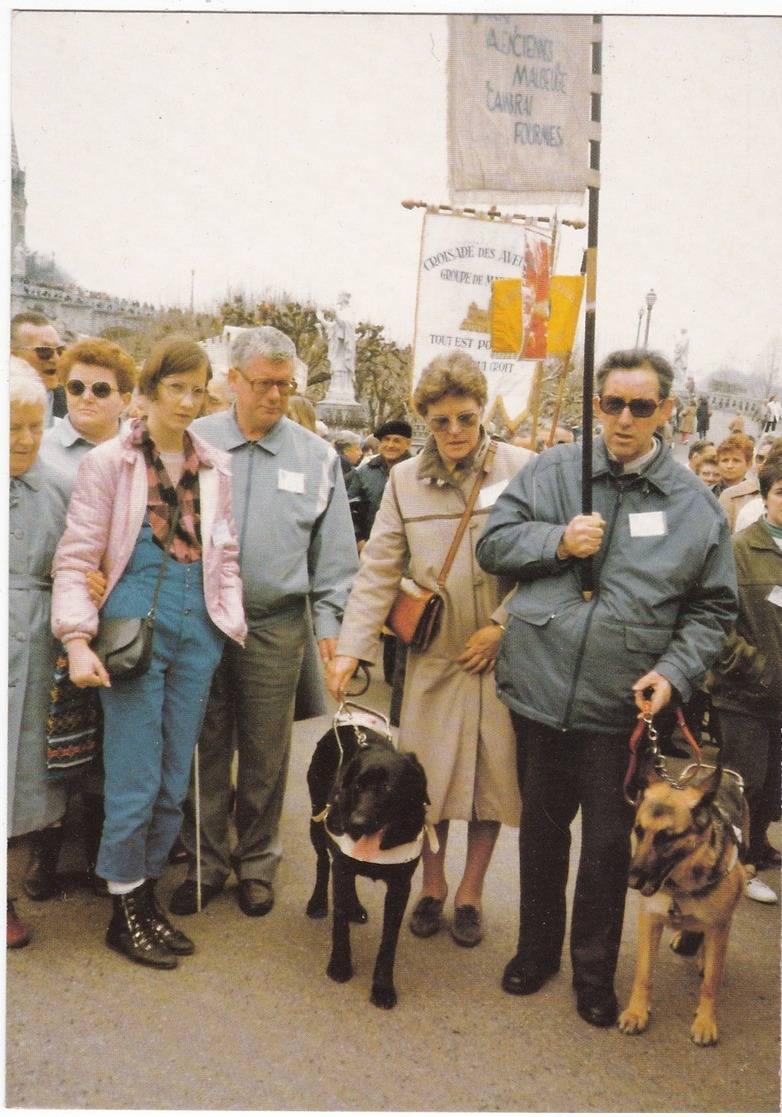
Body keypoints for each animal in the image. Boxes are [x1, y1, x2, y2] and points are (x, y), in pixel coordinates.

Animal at [306, 705, 431, 1014]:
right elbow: (340, 924)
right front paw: (340, 965)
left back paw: (355, 906)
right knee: (323, 864)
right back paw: (318, 902)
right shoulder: (342, 860)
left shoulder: (400, 886)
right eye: (358, 786)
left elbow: (388, 943)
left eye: (388, 789)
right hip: (317, 823)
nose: (357, 823)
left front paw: (383, 987)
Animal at [621, 764, 746, 1041]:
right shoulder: (649, 922)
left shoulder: (719, 925)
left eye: (667, 838)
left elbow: (712, 981)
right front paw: (637, 1012)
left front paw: (706, 1021)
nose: (631, 881)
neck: (681, 886)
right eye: (639, 831)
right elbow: (643, 975)